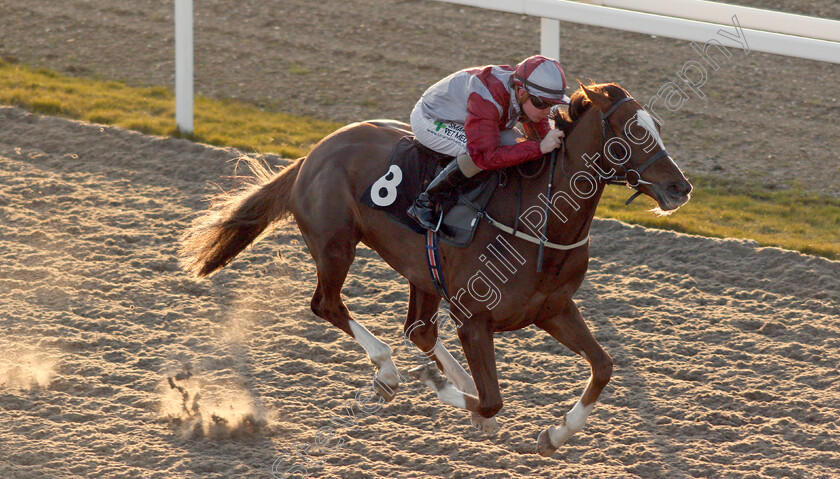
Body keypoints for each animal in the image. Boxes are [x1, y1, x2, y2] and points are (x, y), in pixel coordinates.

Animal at [180, 83, 692, 458]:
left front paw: (555, 434)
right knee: (328, 304)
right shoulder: (473, 318)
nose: (680, 187)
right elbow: (493, 398)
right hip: (335, 245)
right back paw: (389, 372)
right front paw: (437, 385)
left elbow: (603, 366)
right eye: (632, 131)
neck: (540, 221)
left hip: (421, 271)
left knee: (419, 330)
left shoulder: (553, 309)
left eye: (658, 127)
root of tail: (314, 152)